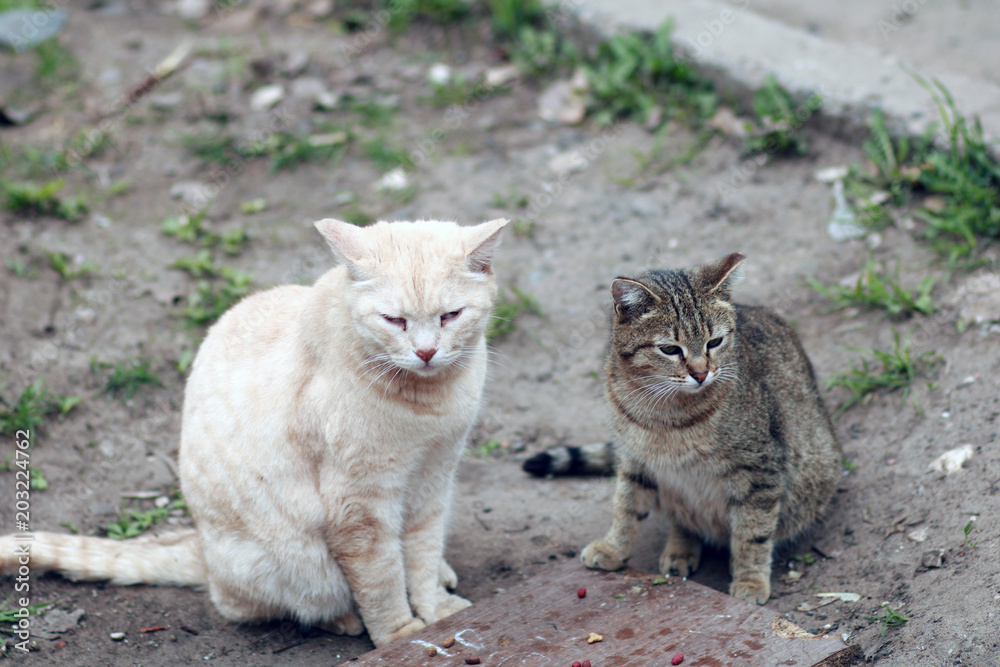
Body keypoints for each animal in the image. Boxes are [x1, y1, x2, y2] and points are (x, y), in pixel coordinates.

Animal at [1, 219, 508, 648]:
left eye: (450, 316)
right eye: (395, 321)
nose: (425, 352)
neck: (429, 404)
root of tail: (204, 551)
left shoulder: (433, 481)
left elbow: (420, 555)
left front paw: (437, 609)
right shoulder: (359, 507)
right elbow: (381, 580)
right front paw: (401, 633)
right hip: (286, 561)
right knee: (255, 604)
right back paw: (343, 618)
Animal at [576, 252, 840, 604]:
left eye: (715, 342)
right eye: (670, 349)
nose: (701, 373)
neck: (666, 413)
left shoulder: (760, 468)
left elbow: (752, 532)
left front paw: (750, 581)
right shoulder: (635, 460)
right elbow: (626, 508)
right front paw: (613, 548)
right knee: (683, 519)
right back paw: (679, 550)